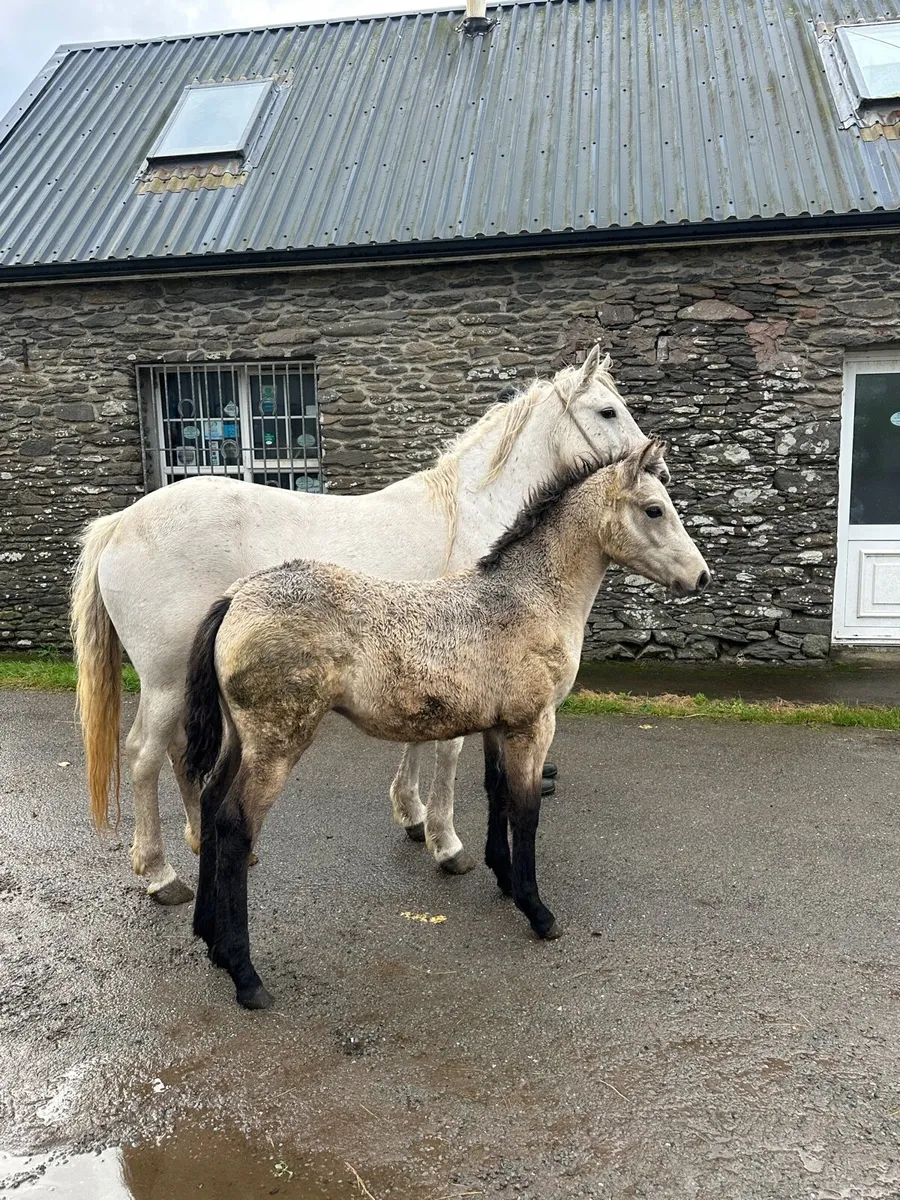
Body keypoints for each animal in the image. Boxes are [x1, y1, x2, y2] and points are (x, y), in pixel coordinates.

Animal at [71, 347, 669, 904]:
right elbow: (448, 751)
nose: (659, 473)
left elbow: (423, 739)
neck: (468, 515)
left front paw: (412, 815)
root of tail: (120, 523)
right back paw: (161, 875)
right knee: (144, 755)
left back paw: (204, 841)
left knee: (181, 752)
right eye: (608, 410)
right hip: (167, 679)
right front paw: (446, 843)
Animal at [182, 439, 709, 1009]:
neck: (528, 599)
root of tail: (236, 596)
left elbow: (498, 794)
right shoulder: (534, 725)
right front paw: (538, 912)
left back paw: (210, 939)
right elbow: (526, 811)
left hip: (243, 740)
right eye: (654, 510)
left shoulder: (499, 726)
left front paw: (504, 878)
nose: (701, 576)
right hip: (278, 744)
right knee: (235, 824)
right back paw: (245, 974)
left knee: (210, 802)